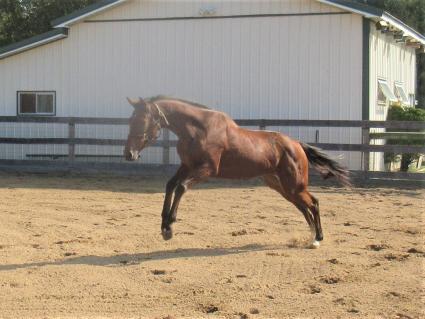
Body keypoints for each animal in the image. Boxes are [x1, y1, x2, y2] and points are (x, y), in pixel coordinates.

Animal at [122, 96, 348, 249]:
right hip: (281, 186)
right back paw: (310, 236)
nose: (128, 154)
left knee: (314, 203)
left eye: (142, 121)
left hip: (294, 185)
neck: (198, 130)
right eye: (130, 120)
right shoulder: (186, 165)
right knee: (303, 207)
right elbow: (170, 185)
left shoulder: (206, 169)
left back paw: (317, 239)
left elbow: (181, 187)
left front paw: (169, 227)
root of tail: (296, 144)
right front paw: (164, 225)